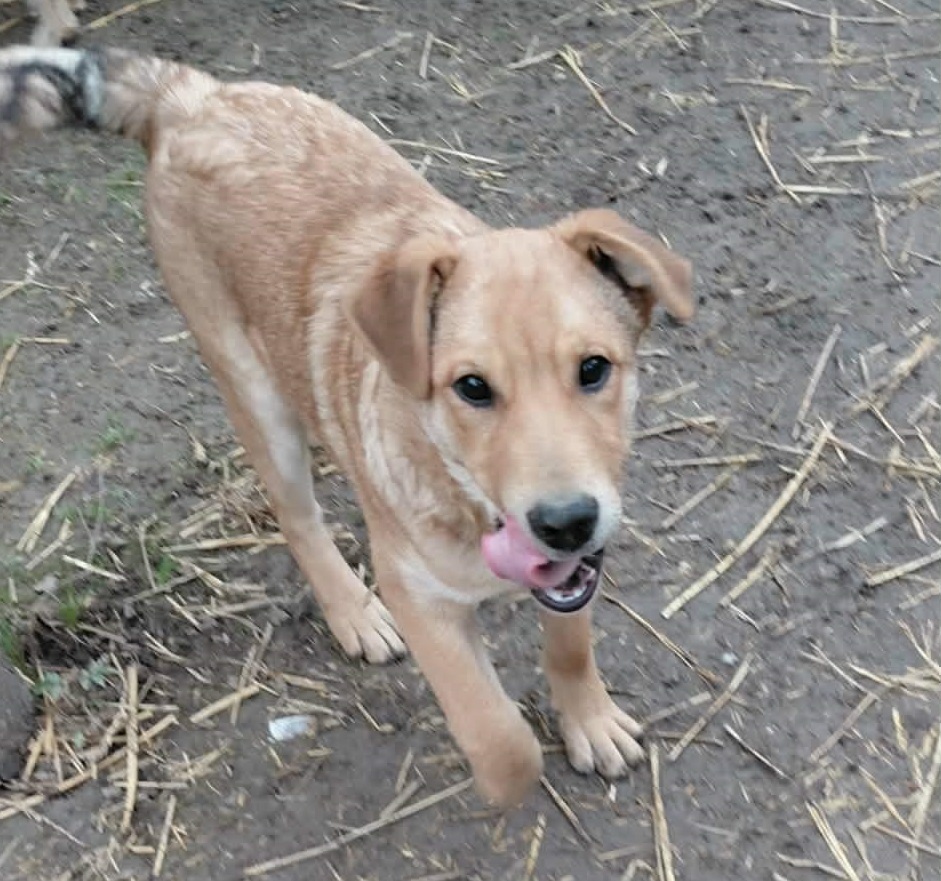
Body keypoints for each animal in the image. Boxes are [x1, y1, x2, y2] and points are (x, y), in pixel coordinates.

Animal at [0, 44, 693, 807]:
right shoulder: (417, 594)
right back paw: (352, 611)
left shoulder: (576, 570)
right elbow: (500, 740)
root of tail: (193, 98)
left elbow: (570, 644)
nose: (565, 521)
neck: (459, 495)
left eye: (594, 369)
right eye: (472, 388)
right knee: (297, 515)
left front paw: (589, 720)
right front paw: (509, 765)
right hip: (253, 388)